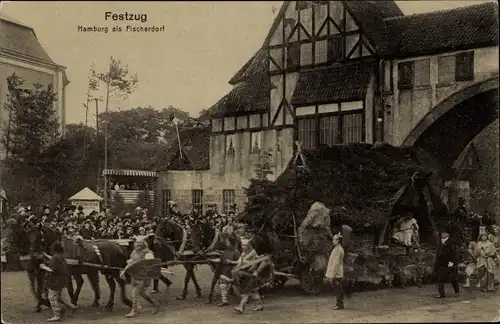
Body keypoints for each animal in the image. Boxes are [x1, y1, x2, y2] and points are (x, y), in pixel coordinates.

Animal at [3, 221, 132, 310]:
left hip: (111, 270)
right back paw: (107, 303)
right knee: (110, 285)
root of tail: (118, 246)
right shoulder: (39, 271)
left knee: (118, 283)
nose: (34, 254)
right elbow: (41, 288)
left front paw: (70, 302)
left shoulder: (64, 272)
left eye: (39, 237)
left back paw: (123, 301)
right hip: (104, 271)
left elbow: (67, 288)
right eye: (29, 237)